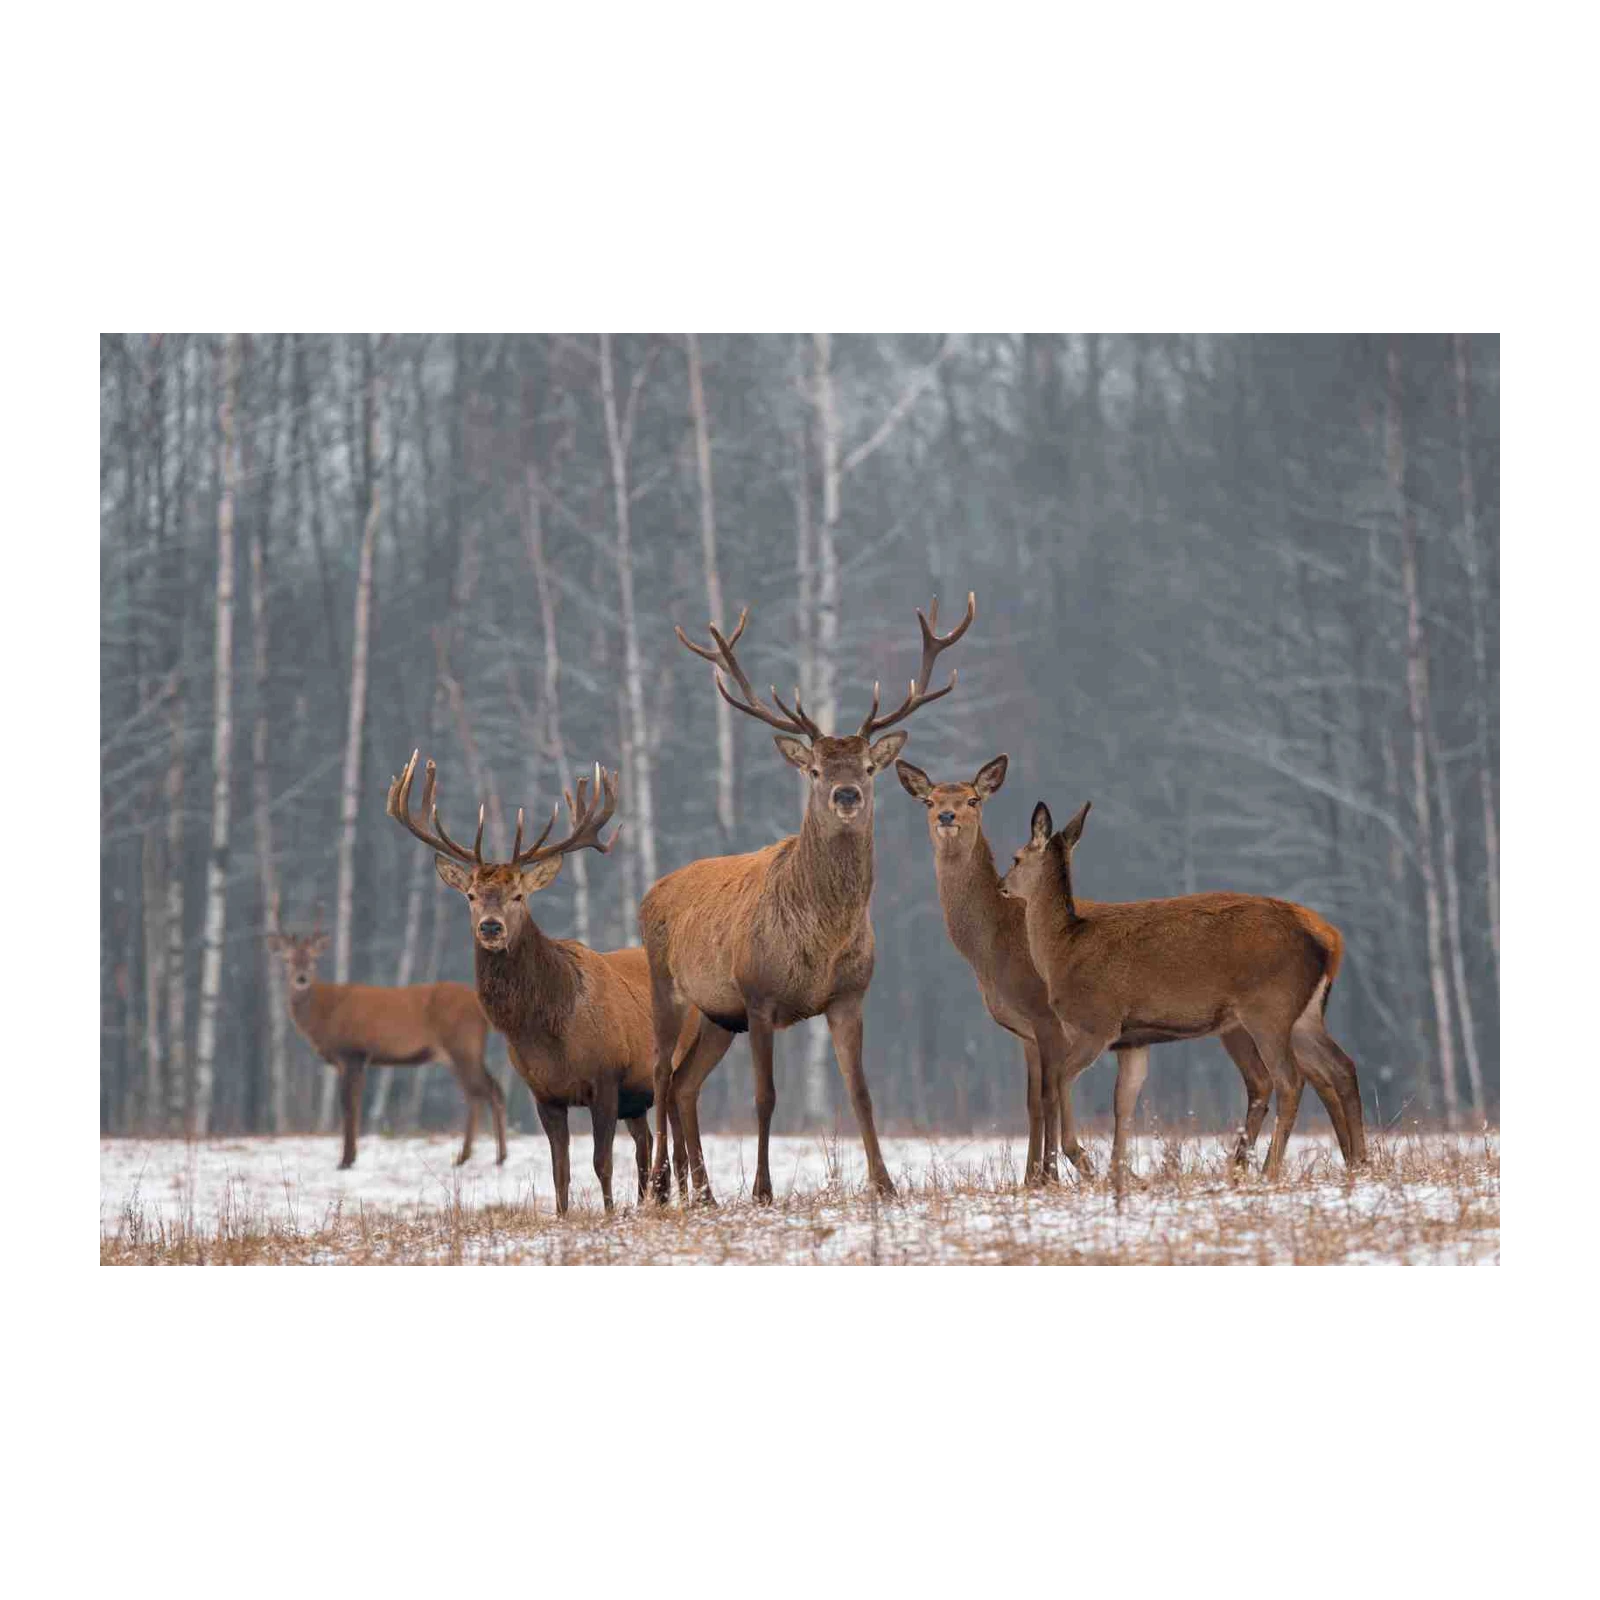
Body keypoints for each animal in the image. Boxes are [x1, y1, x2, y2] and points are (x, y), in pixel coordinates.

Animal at [267, 907, 507, 1171]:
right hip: (455, 1053)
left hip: (463, 1044)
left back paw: (494, 1156)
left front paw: (346, 1160)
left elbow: (349, 1105)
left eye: (312, 960)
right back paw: (471, 1156)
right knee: (477, 1093)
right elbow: (354, 1104)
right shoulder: (351, 1061)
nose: (301, 978)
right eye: (287, 960)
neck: (325, 1013)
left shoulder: (352, 1053)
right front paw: (351, 1156)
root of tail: (481, 1008)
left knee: (488, 1090)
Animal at [386, 751, 703, 1214]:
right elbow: (561, 1170)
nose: (491, 926)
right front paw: (564, 1215)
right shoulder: (544, 1094)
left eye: (519, 895)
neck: (548, 1032)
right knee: (645, 1141)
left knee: (675, 1136)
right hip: (636, 1096)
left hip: (672, 1063)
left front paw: (609, 1214)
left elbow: (601, 1162)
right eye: (471, 896)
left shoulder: (606, 1078)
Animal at [640, 593, 978, 1207]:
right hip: (668, 986)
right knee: (658, 1073)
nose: (846, 794)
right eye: (816, 769)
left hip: (716, 1014)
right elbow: (766, 1097)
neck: (819, 943)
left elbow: (861, 1092)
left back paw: (703, 1192)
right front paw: (762, 1190)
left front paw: (885, 1184)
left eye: (867, 766)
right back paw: (657, 1189)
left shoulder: (848, 996)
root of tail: (653, 891)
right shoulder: (758, 996)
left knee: (683, 1084)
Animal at [895, 753, 1297, 1186]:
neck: (995, 949)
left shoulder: (1048, 1018)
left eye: (973, 799)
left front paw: (1050, 1176)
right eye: (929, 800)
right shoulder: (1025, 1031)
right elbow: (1032, 1101)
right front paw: (1030, 1179)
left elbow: (1048, 1095)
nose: (947, 815)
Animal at [997, 798, 1367, 1183]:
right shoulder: (1133, 1040)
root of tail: (1331, 942)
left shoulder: (1097, 1023)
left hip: (1270, 1009)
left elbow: (1060, 1078)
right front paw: (1118, 1173)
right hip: (1304, 1015)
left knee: (1290, 1079)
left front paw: (1081, 1156)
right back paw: (1360, 1161)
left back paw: (1270, 1169)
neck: (1061, 952)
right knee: (1342, 1066)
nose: (1001, 885)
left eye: (1016, 858)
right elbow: (1123, 1100)